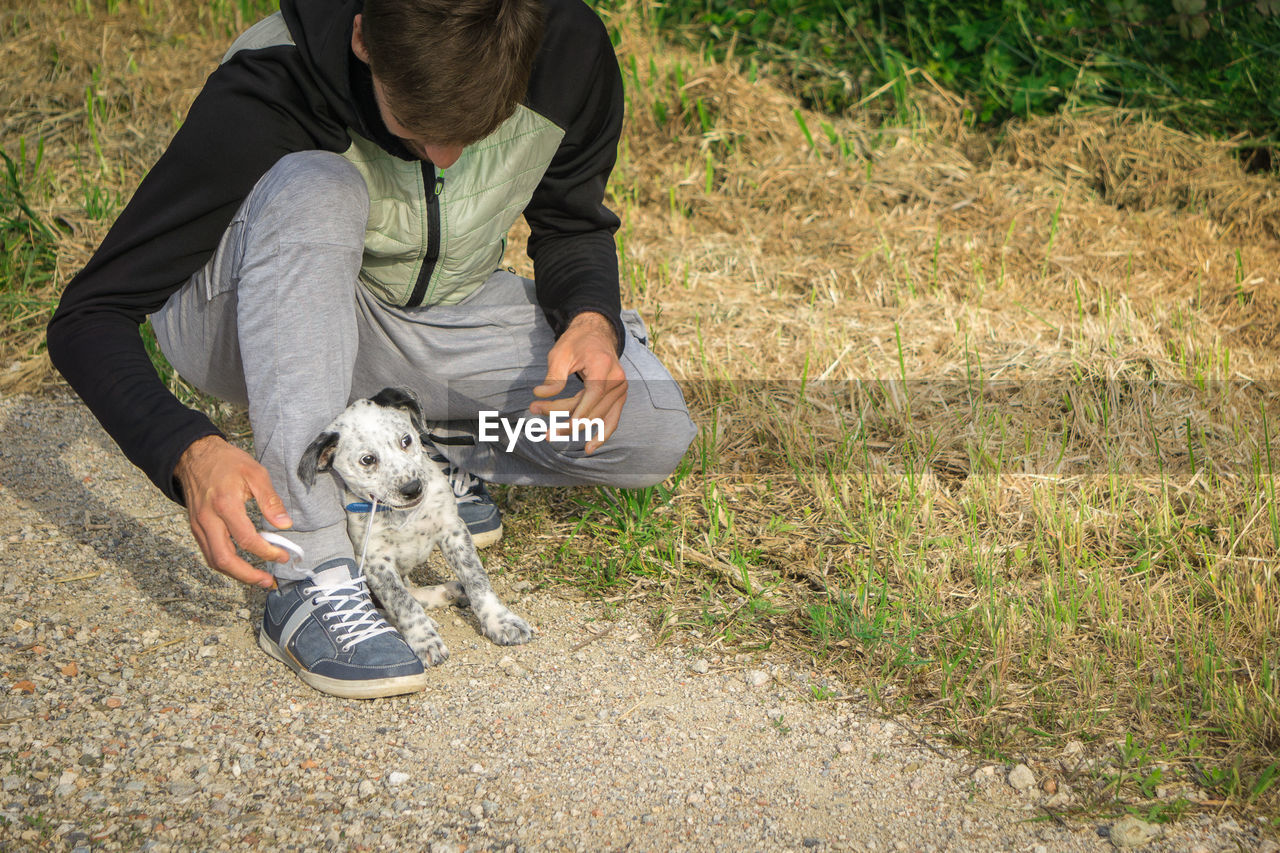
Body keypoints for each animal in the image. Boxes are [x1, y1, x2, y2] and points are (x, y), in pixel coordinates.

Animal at [296, 386, 532, 666]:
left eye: (406, 441)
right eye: (367, 460)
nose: (413, 488)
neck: (406, 515)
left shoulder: (454, 531)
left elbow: (477, 579)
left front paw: (500, 621)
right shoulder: (375, 562)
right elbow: (402, 602)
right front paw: (424, 639)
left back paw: (449, 591)